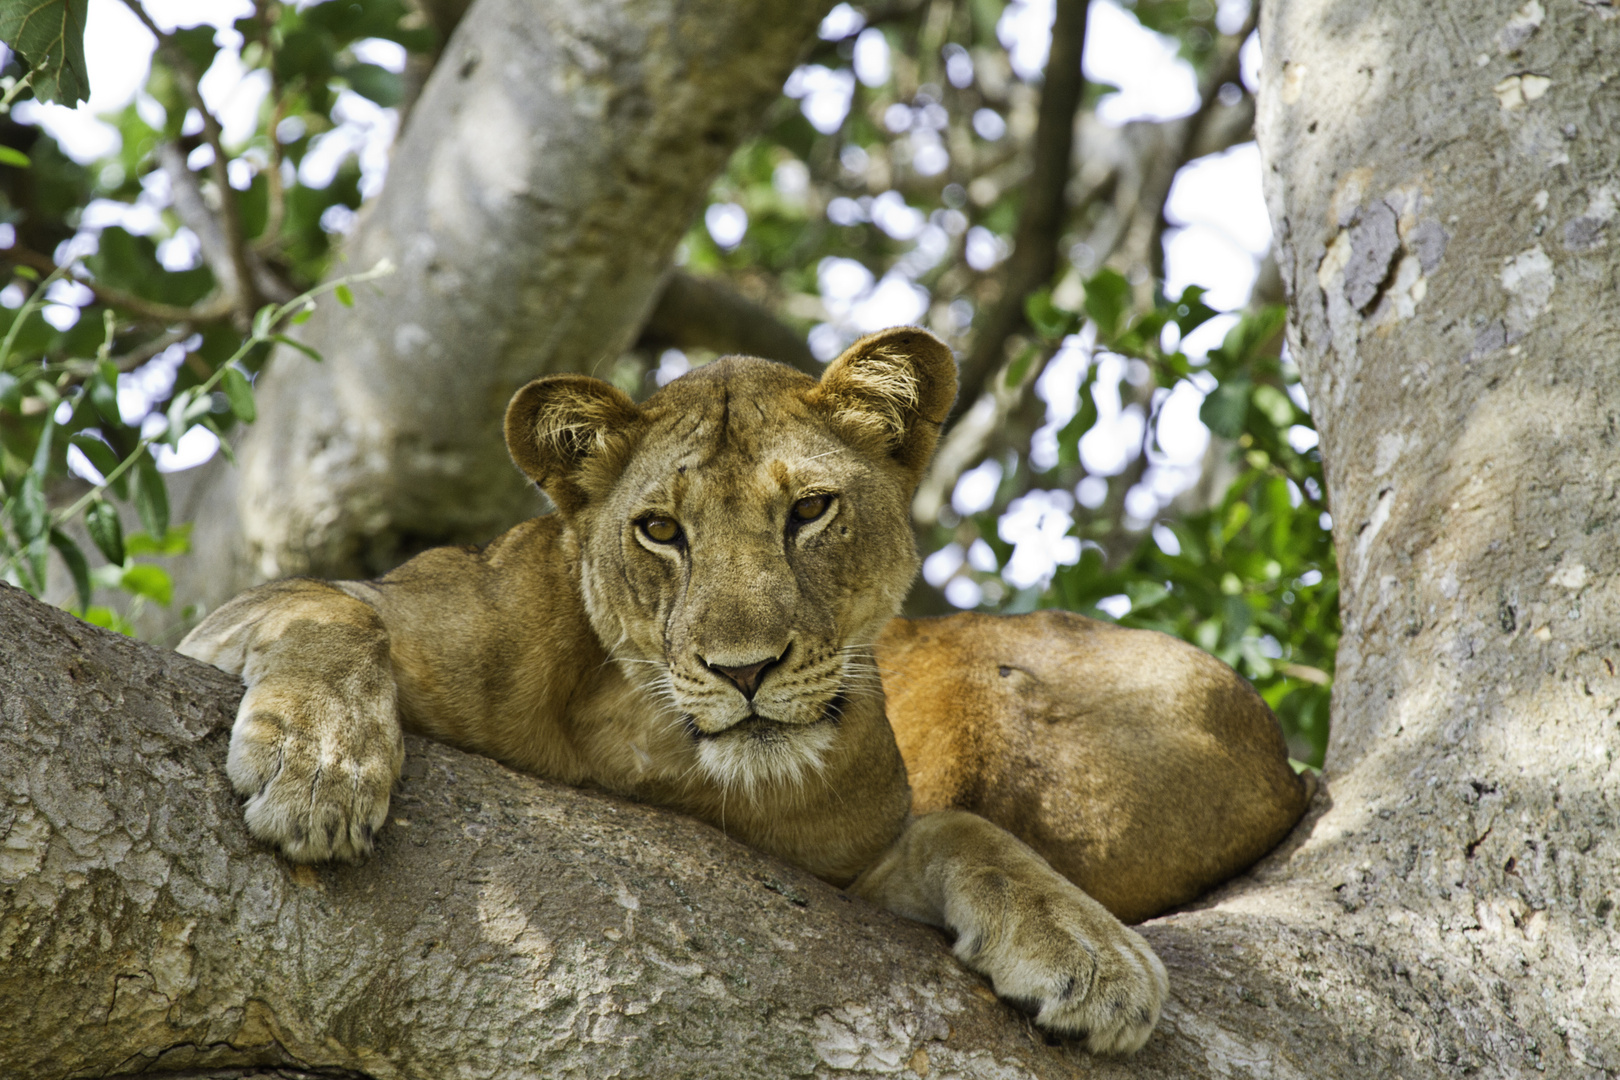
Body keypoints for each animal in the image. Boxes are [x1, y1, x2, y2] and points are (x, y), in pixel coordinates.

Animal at [180, 325, 1302, 1049]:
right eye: (660, 530)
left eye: (810, 511)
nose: (745, 669)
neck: (646, 746)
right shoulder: (260, 616)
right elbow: (333, 612)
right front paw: (318, 774)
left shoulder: (852, 867)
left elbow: (966, 834)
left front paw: (1090, 952)